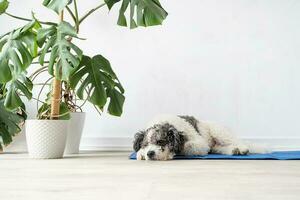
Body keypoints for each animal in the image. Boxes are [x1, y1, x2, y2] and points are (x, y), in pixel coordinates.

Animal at [132, 115, 268, 160]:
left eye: (160, 141)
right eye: (145, 145)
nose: (150, 153)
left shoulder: (200, 144)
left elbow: (187, 146)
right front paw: (141, 154)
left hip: (220, 132)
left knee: (237, 141)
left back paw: (243, 149)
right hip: (217, 146)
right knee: (221, 148)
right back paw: (234, 151)